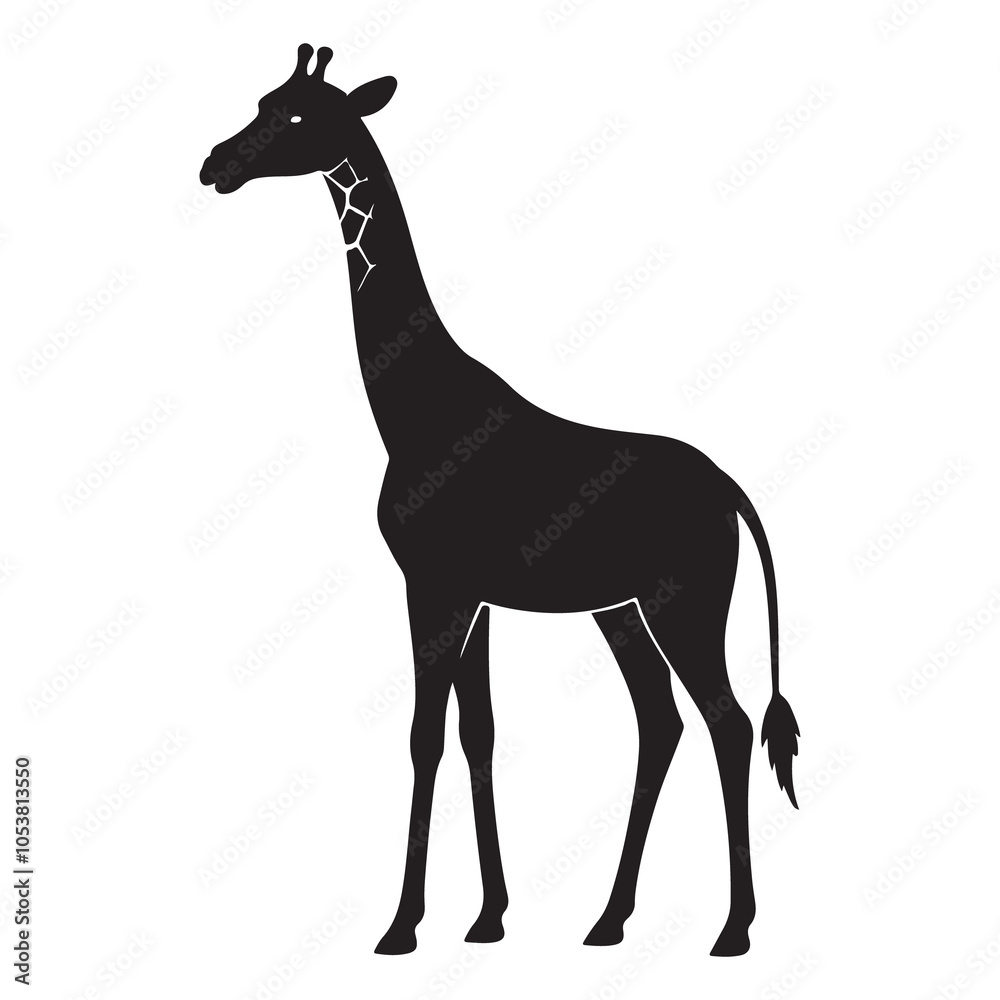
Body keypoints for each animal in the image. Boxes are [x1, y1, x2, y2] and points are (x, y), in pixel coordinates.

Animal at [200, 44, 801, 958]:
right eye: (262, 100)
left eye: (297, 115)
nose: (214, 166)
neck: (412, 409)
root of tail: (731, 489)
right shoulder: (472, 595)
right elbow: (475, 734)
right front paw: (487, 918)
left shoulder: (432, 586)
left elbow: (424, 736)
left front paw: (401, 926)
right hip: (621, 607)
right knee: (660, 722)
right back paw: (609, 920)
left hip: (685, 599)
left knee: (725, 724)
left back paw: (732, 931)